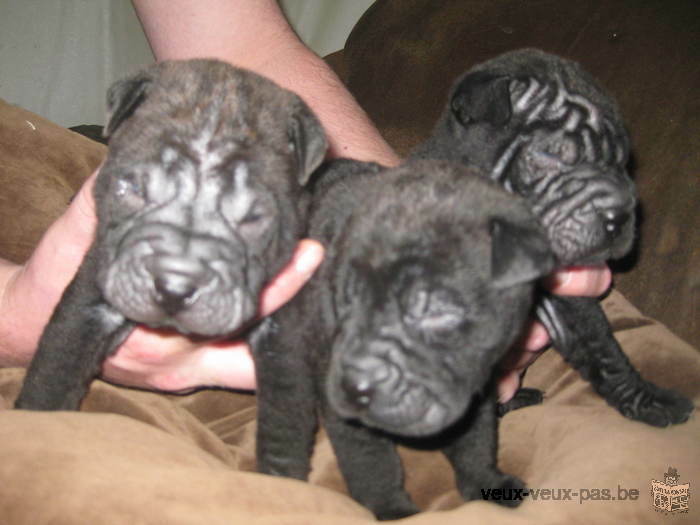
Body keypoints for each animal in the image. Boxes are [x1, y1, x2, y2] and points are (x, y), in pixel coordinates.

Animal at [253, 159, 556, 516]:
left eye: (434, 310)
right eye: (347, 300)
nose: (355, 386)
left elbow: (476, 441)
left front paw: (486, 482)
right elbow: (371, 461)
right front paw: (392, 509)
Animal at [412, 48, 692, 426]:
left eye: (622, 164)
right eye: (551, 155)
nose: (619, 218)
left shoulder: (562, 301)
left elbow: (604, 352)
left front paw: (646, 401)